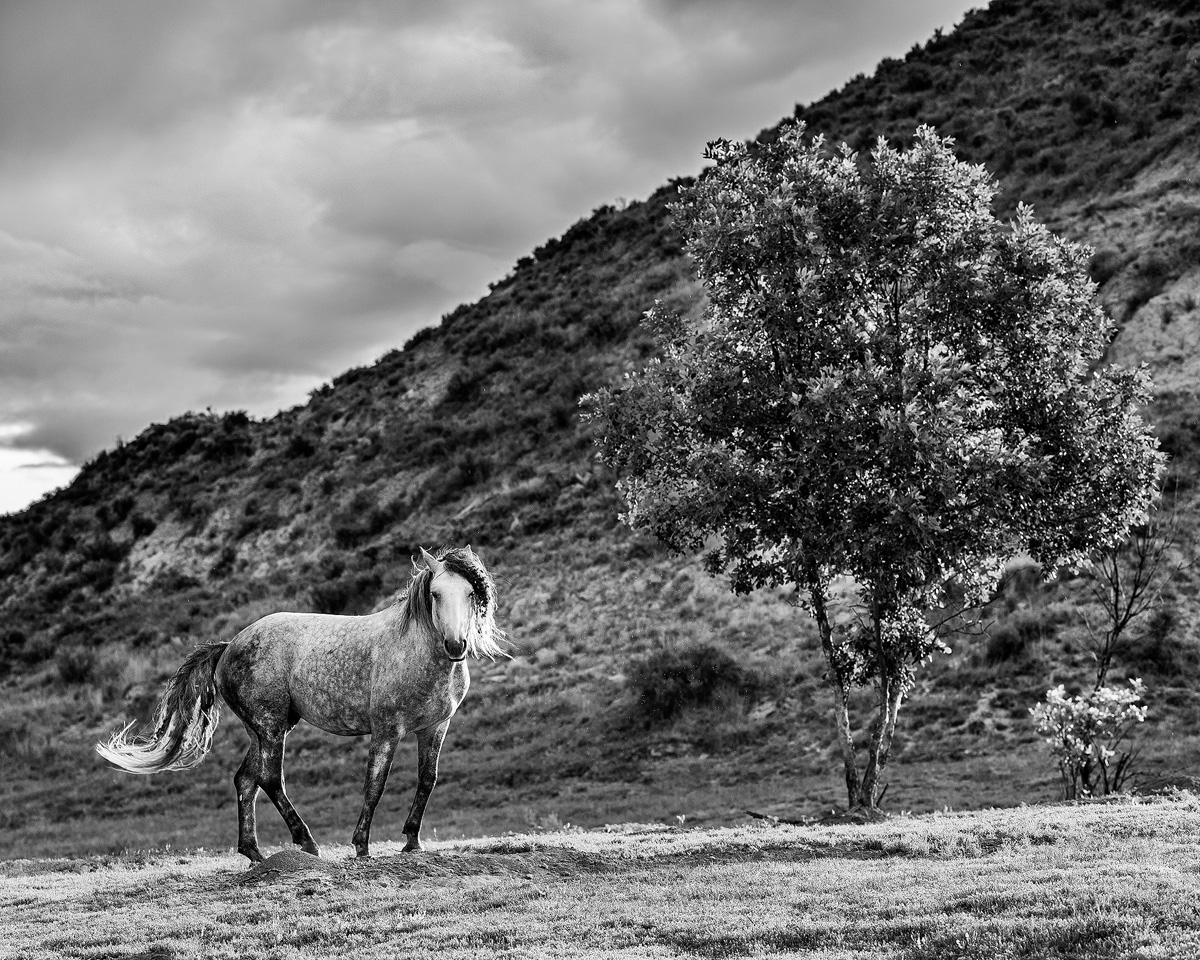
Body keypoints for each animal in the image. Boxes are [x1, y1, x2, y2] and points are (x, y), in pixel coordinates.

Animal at [96, 547, 504, 864]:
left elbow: (427, 779)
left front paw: (412, 842)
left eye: (471, 593)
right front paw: (362, 846)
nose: (456, 645)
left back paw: (255, 854)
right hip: (272, 726)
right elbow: (376, 784)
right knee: (270, 779)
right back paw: (306, 842)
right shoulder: (387, 730)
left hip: (263, 730)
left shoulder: (435, 728)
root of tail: (228, 647)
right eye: (435, 593)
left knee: (246, 779)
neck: (415, 650)